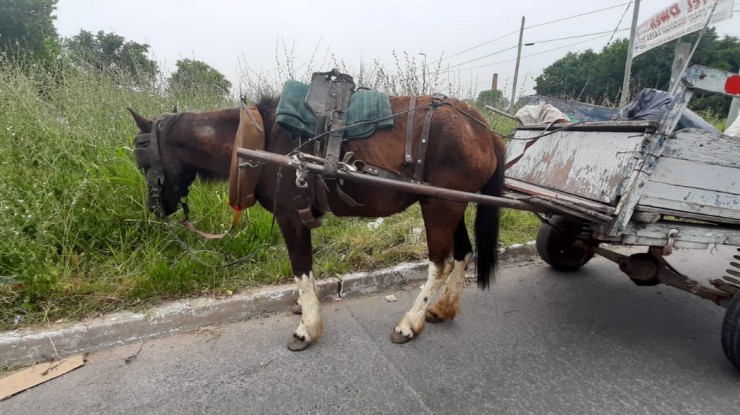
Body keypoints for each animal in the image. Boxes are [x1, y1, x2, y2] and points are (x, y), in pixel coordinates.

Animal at [129, 96, 508, 352]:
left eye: (142, 161)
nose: (155, 208)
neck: (260, 140)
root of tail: (484, 131)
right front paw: (304, 306)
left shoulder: (291, 218)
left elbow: (301, 269)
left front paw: (306, 327)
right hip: (451, 204)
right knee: (463, 254)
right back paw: (442, 309)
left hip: (440, 206)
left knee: (439, 264)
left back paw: (409, 324)